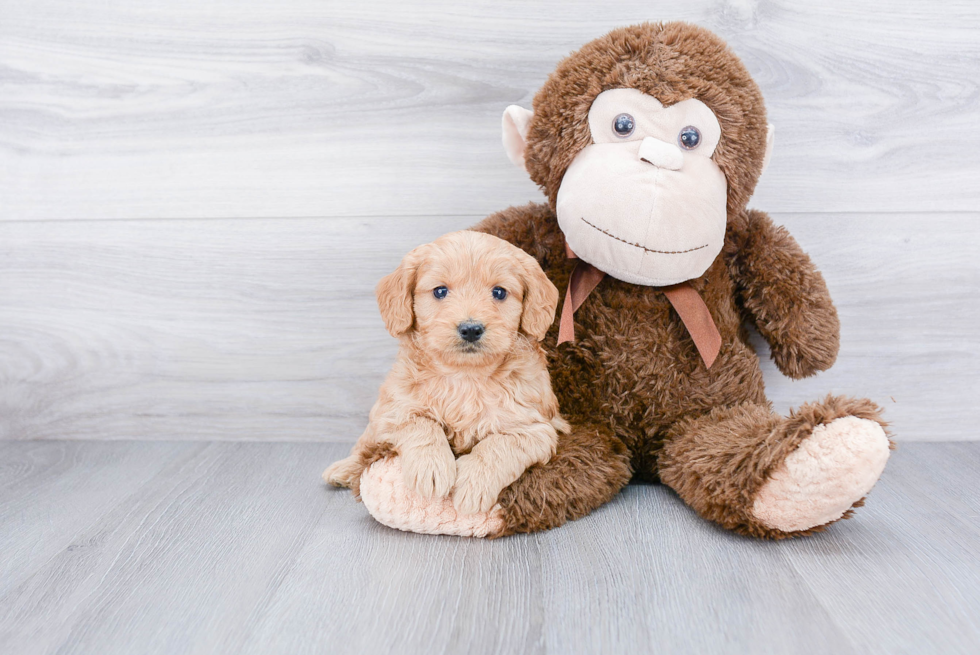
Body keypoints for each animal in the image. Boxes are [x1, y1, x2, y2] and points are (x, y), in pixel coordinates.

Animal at [322, 233, 568, 516]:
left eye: (499, 292)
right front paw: (431, 467)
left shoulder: (535, 428)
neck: (464, 376)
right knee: (365, 445)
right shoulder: (393, 411)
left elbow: (496, 446)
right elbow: (422, 423)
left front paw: (474, 483)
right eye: (440, 291)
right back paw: (343, 469)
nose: (471, 329)